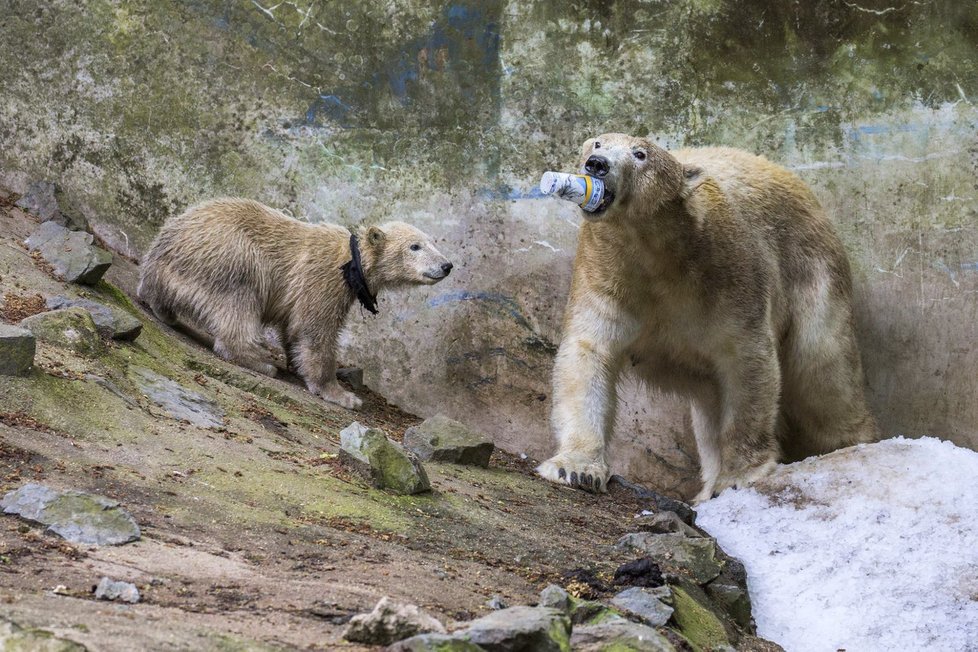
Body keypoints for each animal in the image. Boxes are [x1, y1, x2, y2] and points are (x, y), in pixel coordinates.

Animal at [532, 131, 876, 500]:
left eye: (640, 154)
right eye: (597, 143)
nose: (596, 164)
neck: (658, 250)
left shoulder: (727, 272)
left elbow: (746, 361)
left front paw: (739, 475)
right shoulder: (606, 271)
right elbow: (588, 354)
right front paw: (575, 468)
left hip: (812, 266)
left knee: (822, 366)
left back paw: (853, 443)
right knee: (711, 405)